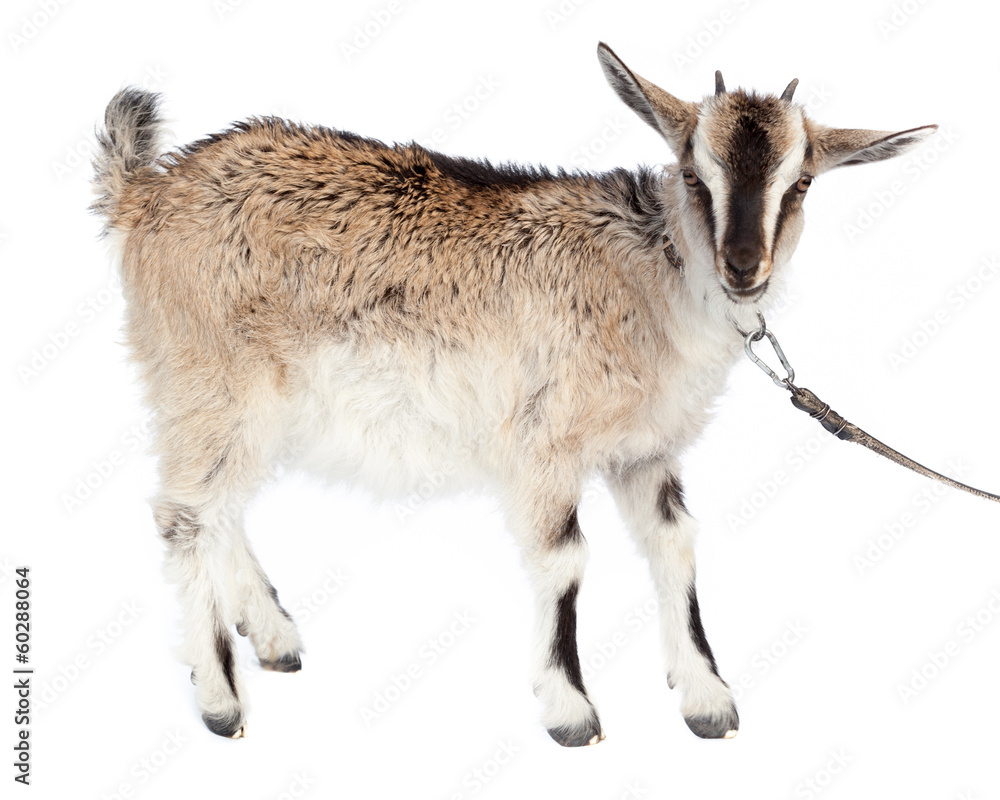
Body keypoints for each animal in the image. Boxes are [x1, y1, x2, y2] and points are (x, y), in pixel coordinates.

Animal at [91, 43, 935, 745]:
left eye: (801, 183)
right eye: (696, 175)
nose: (743, 267)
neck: (651, 280)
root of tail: (145, 193)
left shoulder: (645, 451)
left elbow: (675, 545)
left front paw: (706, 699)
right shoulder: (546, 444)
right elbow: (565, 561)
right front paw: (572, 713)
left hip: (239, 404)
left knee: (219, 508)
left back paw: (272, 636)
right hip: (208, 380)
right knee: (185, 517)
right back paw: (220, 699)